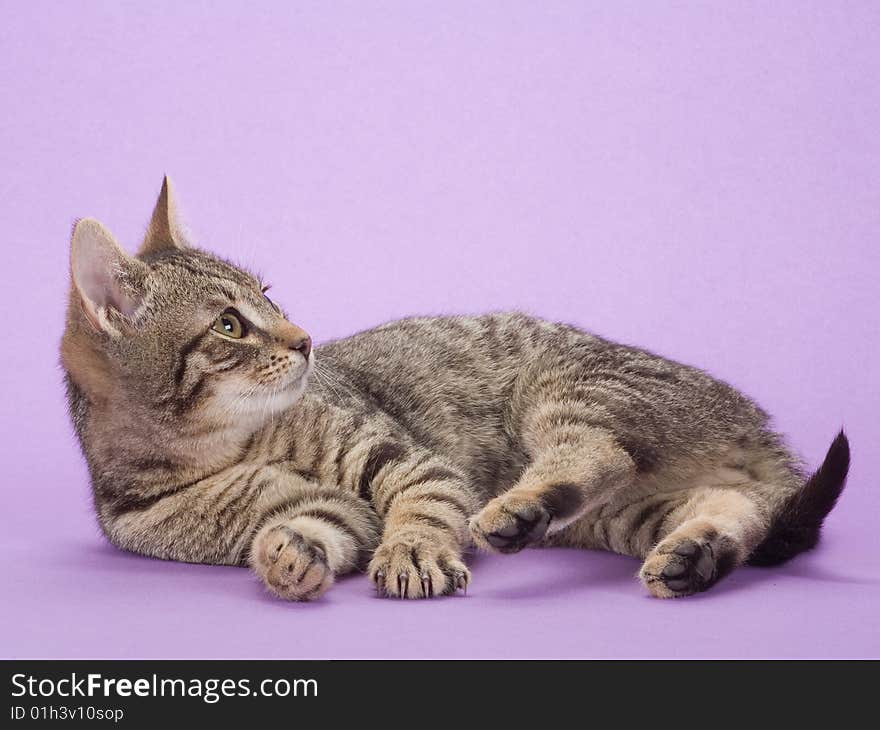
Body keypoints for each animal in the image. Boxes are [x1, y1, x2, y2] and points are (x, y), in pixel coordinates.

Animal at [58, 176, 848, 596]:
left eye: (270, 297)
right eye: (228, 325)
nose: (304, 339)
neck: (221, 449)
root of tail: (762, 430)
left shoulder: (403, 458)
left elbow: (425, 504)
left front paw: (414, 552)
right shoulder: (322, 510)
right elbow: (313, 527)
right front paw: (289, 559)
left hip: (561, 385)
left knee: (601, 452)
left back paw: (518, 510)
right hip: (626, 512)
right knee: (735, 507)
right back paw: (692, 553)